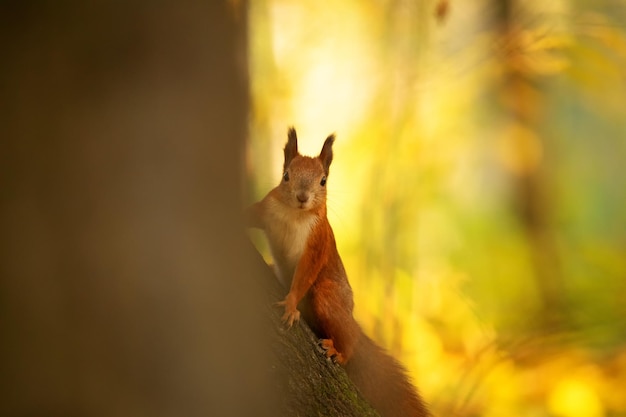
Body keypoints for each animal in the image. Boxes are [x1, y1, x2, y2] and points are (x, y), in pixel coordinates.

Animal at [247, 127, 428, 416]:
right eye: (286, 175)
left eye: (323, 181)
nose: (302, 197)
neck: (294, 214)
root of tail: (350, 315)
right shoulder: (265, 208)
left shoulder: (317, 244)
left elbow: (305, 274)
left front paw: (290, 304)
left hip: (329, 297)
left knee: (348, 337)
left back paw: (339, 352)